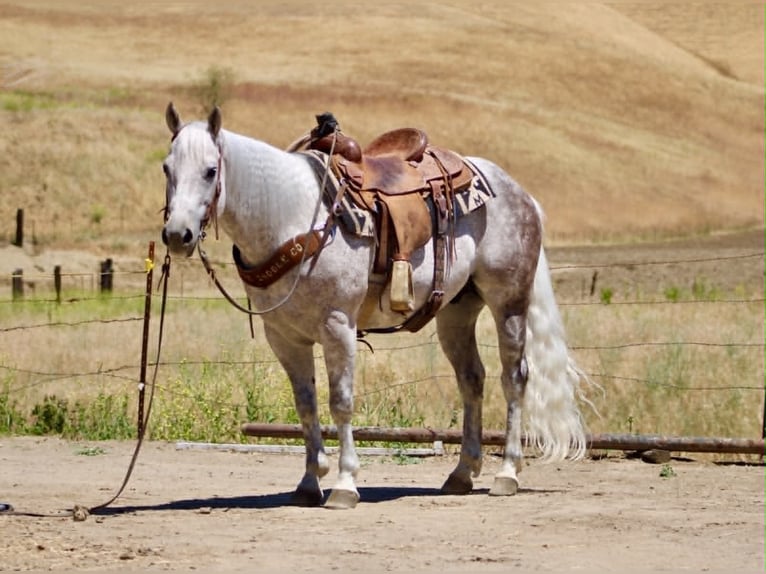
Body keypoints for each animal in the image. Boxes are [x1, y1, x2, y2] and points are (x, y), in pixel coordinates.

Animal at [160, 103, 588, 509]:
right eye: (167, 168)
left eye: (210, 171)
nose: (177, 235)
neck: (292, 217)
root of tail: (519, 192)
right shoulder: (284, 336)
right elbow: (305, 405)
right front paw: (309, 482)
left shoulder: (338, 326)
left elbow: (341, 401)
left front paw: (345, 484)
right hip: (456, 311)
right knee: (471, 379)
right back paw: (462, 474)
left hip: (508, 300)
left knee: (514, 377)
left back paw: (507, 473)